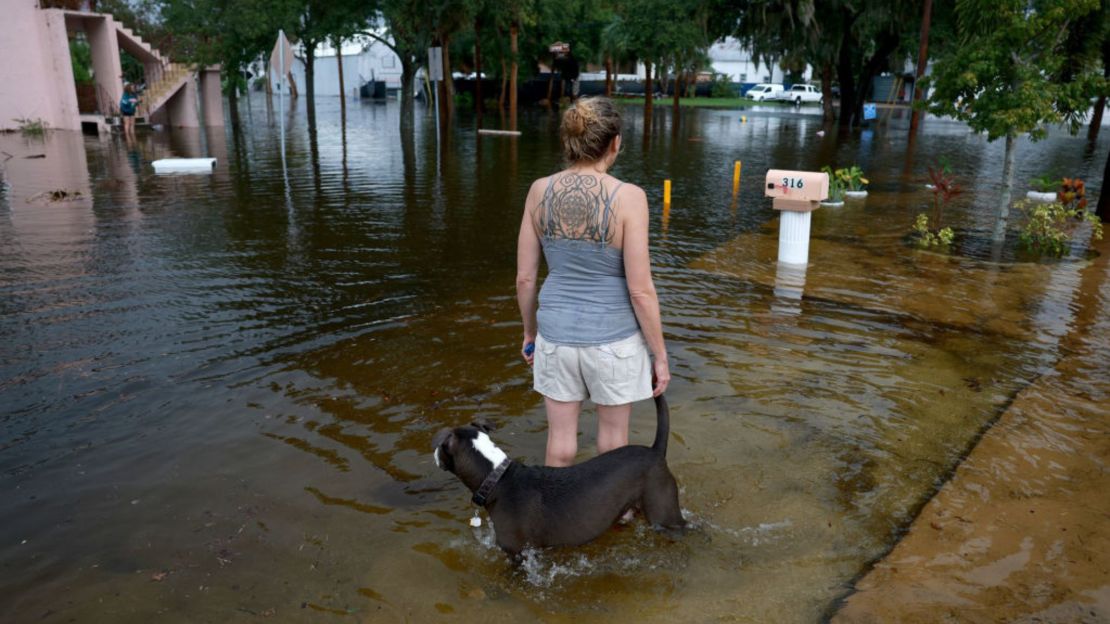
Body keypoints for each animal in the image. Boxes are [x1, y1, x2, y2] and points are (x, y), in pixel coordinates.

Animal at [432, 390, 683, 555]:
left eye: (440, 447)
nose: (433, 453)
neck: (497, 478)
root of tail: (655, 450)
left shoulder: (516, 553)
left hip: (665, 513)